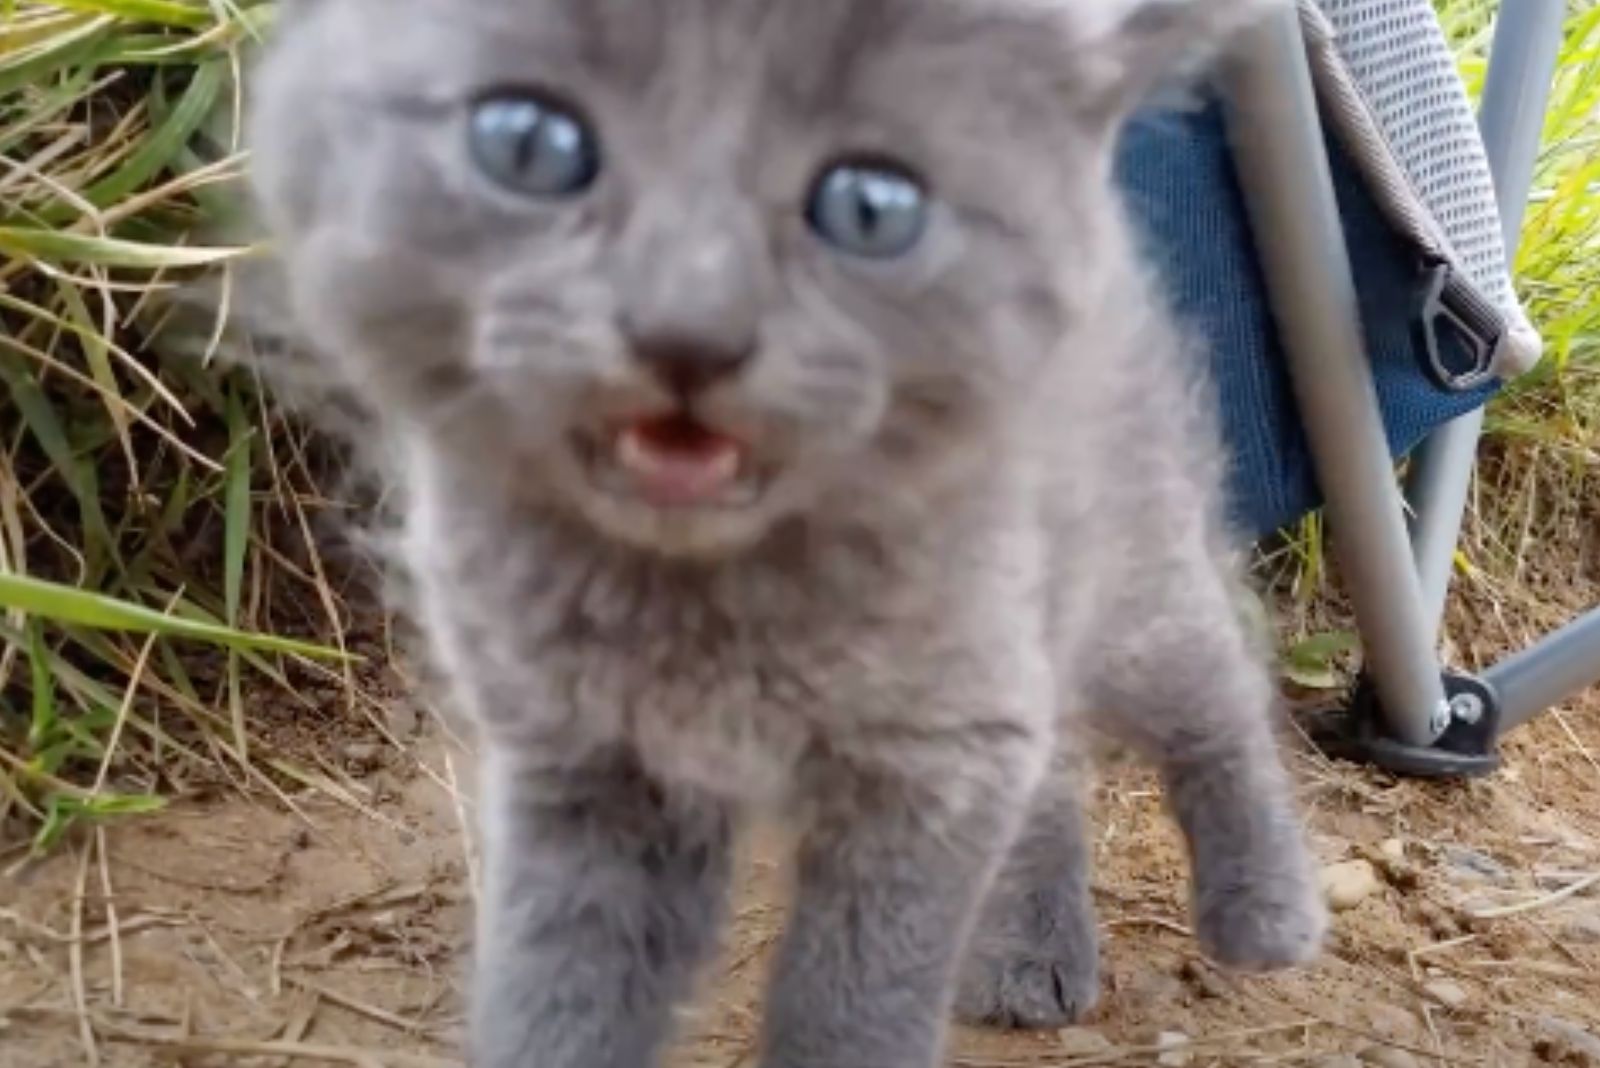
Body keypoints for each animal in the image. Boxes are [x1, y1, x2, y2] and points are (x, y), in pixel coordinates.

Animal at [246, 2, 1324, 1068]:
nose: (687, 330)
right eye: (529, 145)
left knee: (1217, 689)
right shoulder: (587, 765)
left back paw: (1266, 908)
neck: (702, 594)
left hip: (1129, 572)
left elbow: (855, 991)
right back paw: (1029, 951)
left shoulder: (931, 751)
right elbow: (559, 986)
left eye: (870, 208)